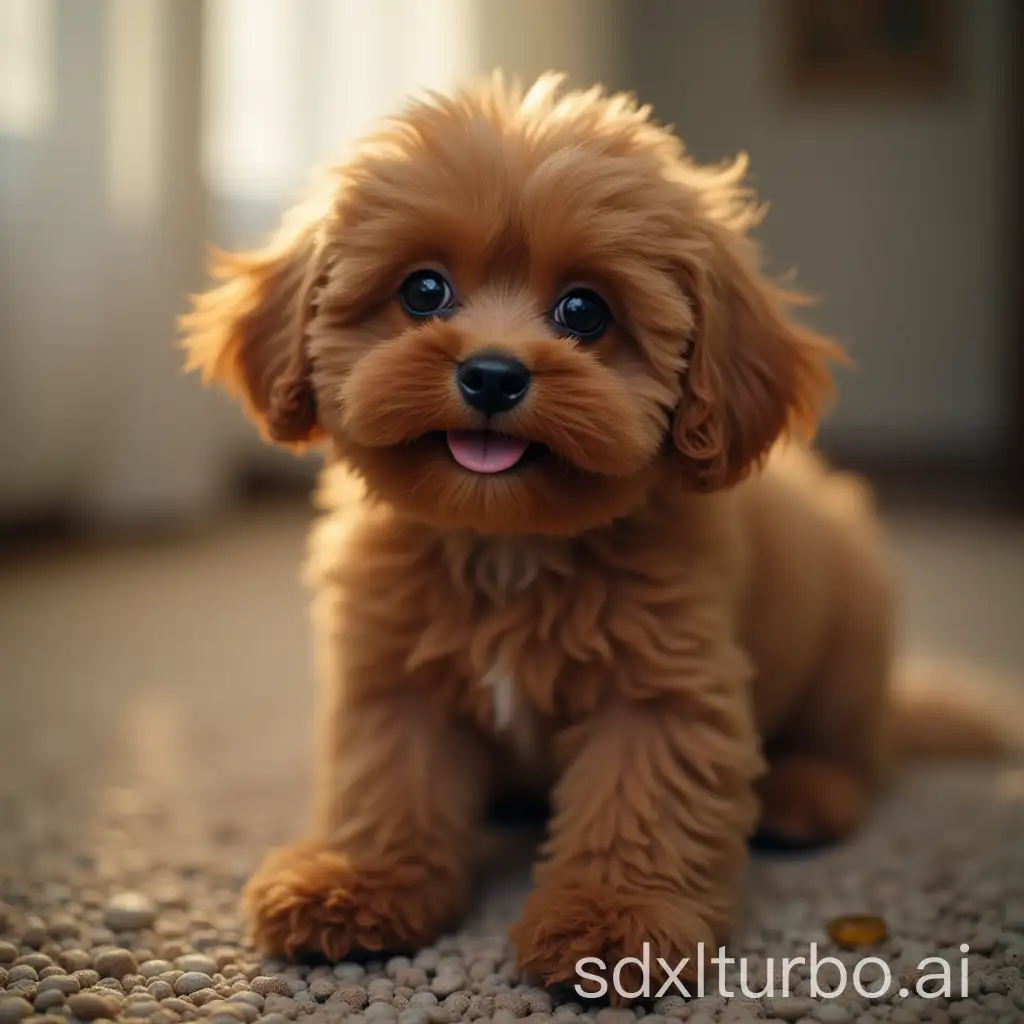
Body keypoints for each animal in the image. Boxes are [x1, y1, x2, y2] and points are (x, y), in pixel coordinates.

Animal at [182, 77, 897, 991]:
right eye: (423, 291)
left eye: (584, 310)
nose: (492, 373)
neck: (506, 547)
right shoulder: (394, 681)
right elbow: (387, 784)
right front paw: (356, 883)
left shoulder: (662, 691)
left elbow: (639, 804)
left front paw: (612, 923)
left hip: (851, 638)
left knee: (853, 746)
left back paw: (808, 794)